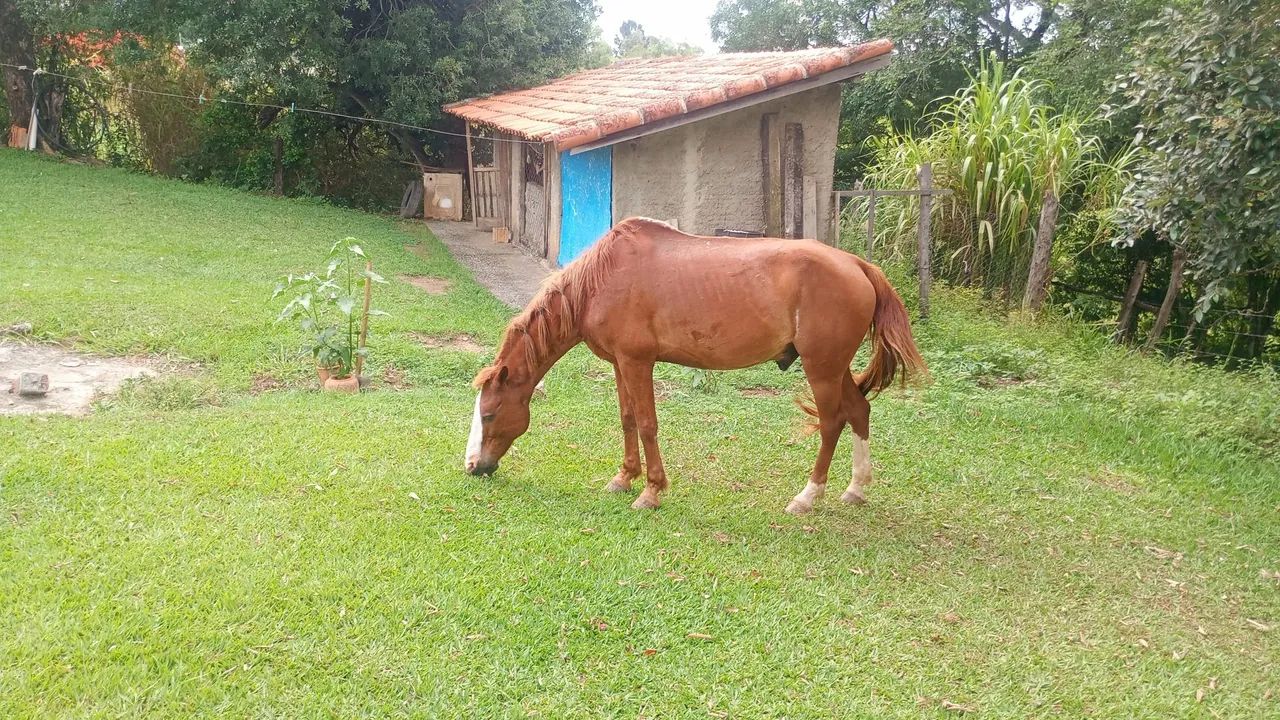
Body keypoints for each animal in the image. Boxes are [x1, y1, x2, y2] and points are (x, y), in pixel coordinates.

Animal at [464, 217, 926, 514]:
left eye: (489, 414)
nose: (473, 467)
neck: (601, 281)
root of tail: (858, 265)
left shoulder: (637, 363)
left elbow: (647, 424)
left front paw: (651, 491)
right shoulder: (619, 365)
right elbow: (627, 419)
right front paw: (624, 478)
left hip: (821, 369)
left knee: (832, 422)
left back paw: (808, 497)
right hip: (835, 368)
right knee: (859, 410)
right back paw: (856, 489)